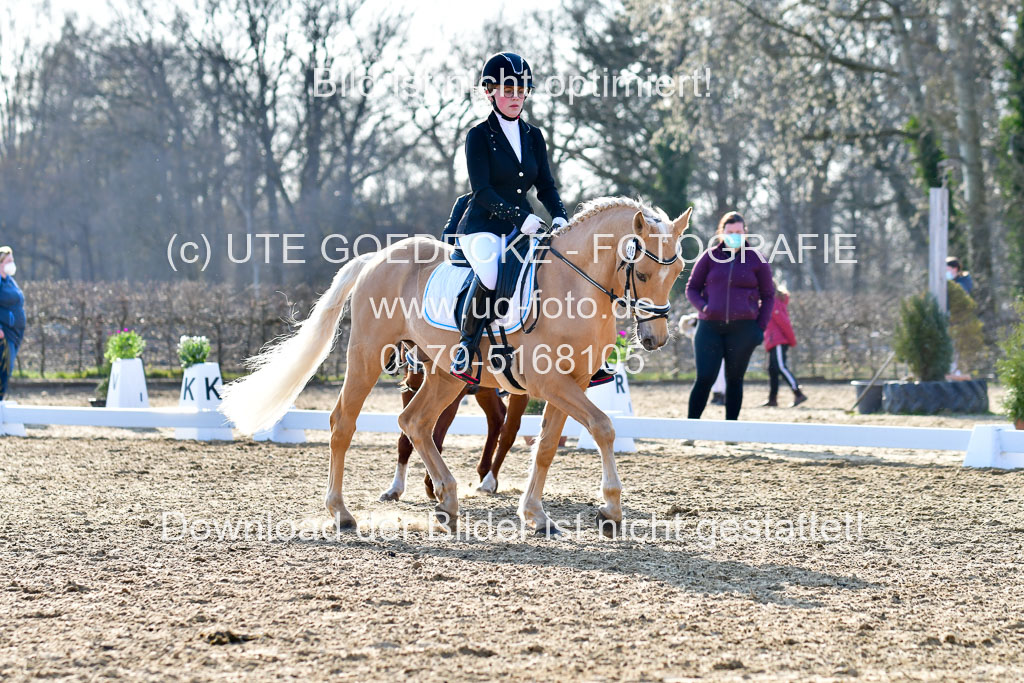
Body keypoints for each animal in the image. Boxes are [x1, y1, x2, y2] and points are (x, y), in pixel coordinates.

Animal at [220, 197, 692, 532]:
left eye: (679, 272)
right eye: (643, 273)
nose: (655, 339)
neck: (575, 284)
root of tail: (376, 258)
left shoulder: (570, 381)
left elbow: (545, 448)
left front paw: (536, 516)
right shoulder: (549, 382)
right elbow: (603, 427)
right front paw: (610, 509)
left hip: (445, 373)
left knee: (414, 421)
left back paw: (446, 502)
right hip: (368, 356)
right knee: (343, 423)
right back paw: (342, 513)